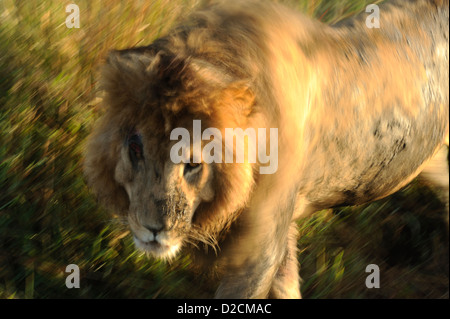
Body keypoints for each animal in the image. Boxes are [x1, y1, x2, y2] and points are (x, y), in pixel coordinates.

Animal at [83, 0, 446, 300]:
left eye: (193, 163)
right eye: (135, 148)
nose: (154, 229)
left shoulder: (260, 249)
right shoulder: (279, 237)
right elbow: (287, 286)